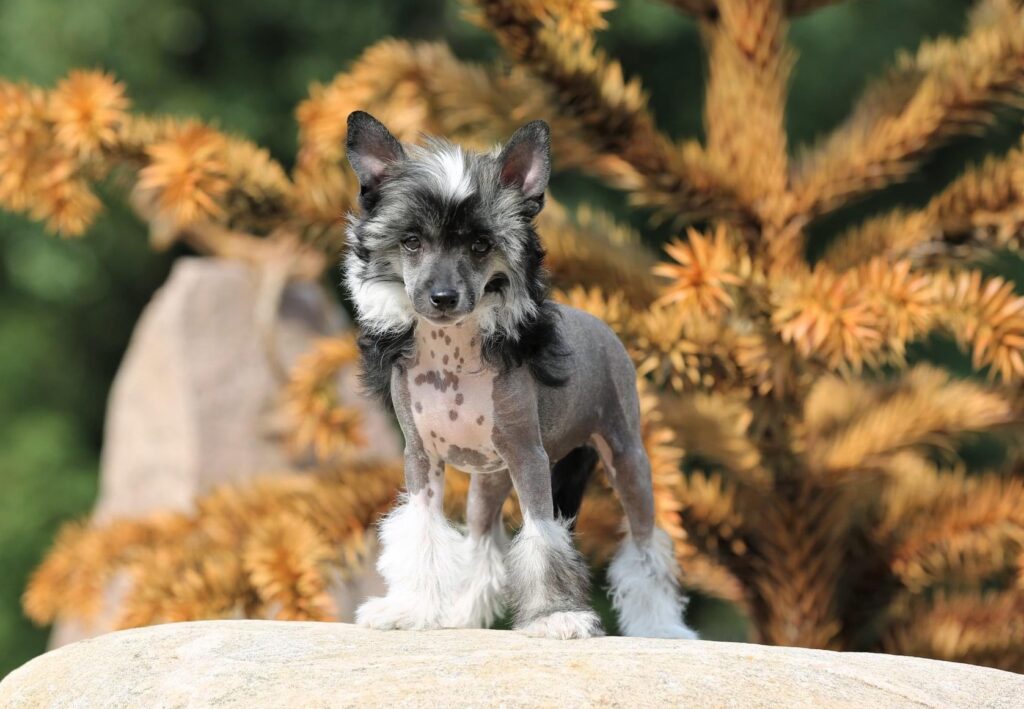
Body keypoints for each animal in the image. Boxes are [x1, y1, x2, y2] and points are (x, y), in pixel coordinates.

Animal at [344, 108, 696, 639]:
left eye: (480, 244)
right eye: (411, 241)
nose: (442, 297)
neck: (452, 357)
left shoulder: (530, 457)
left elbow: (543, 538)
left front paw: (554, 616)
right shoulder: (421, 459)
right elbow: (422, 532)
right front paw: (409, 609)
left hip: (627, 459)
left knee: (646, 548)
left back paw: (660, 627)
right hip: (488, 482)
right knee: (482, 542)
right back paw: (464, 614)